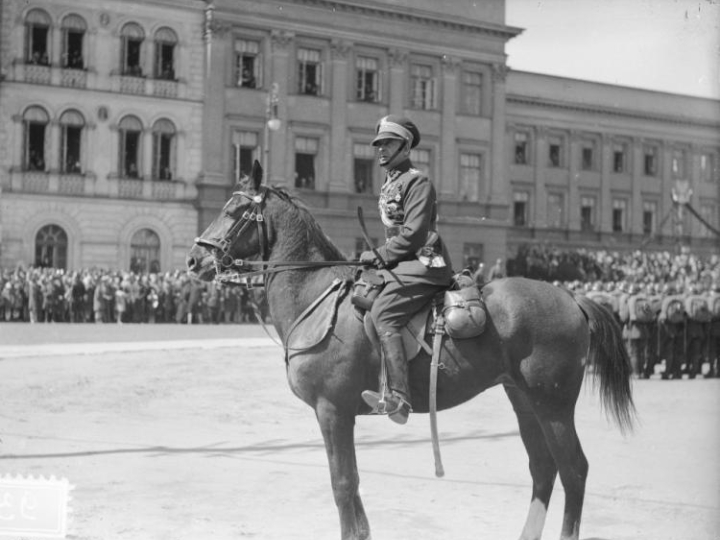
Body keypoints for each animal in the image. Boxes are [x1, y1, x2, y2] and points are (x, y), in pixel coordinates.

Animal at [187, 162, 636, 540]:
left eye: (233, 210)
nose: (193, 260)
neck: (316, 296)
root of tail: (572, 298)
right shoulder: (339, 414)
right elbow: (352, 485)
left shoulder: (332, 410)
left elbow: (342, 484)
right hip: (524, 401)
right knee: (543, 469)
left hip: (553, 404)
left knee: (574, 470)